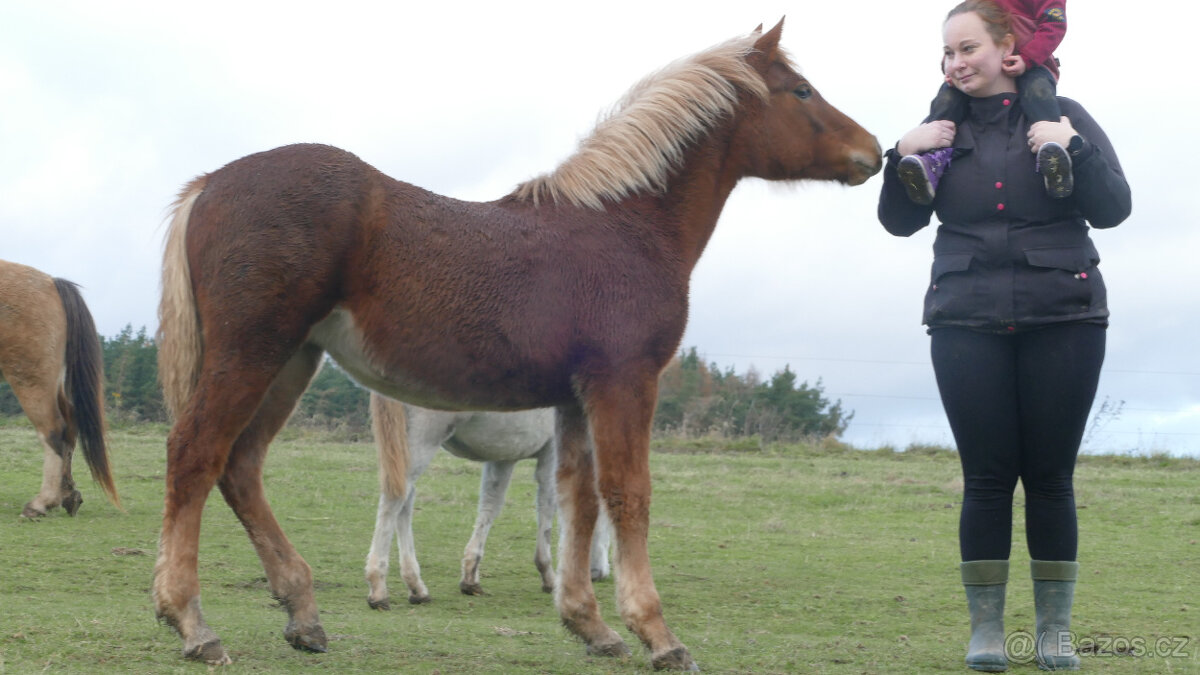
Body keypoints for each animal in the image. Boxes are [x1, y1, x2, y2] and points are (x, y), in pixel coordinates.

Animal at [0, 259, 120, 517]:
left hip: (32, 380)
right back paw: (67, 495)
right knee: (70, 428)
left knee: (54, 430)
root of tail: (52, 283)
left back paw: (42, 503)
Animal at [364, 394, 610, 609]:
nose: (598, 573)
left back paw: (416, 587)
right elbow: (546, 509)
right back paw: (379, 588)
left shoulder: (505, 456)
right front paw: (549, 576)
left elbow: (490, 505)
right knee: (396, 501)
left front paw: (470, 576)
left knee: (404, 503)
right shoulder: (552, 453)